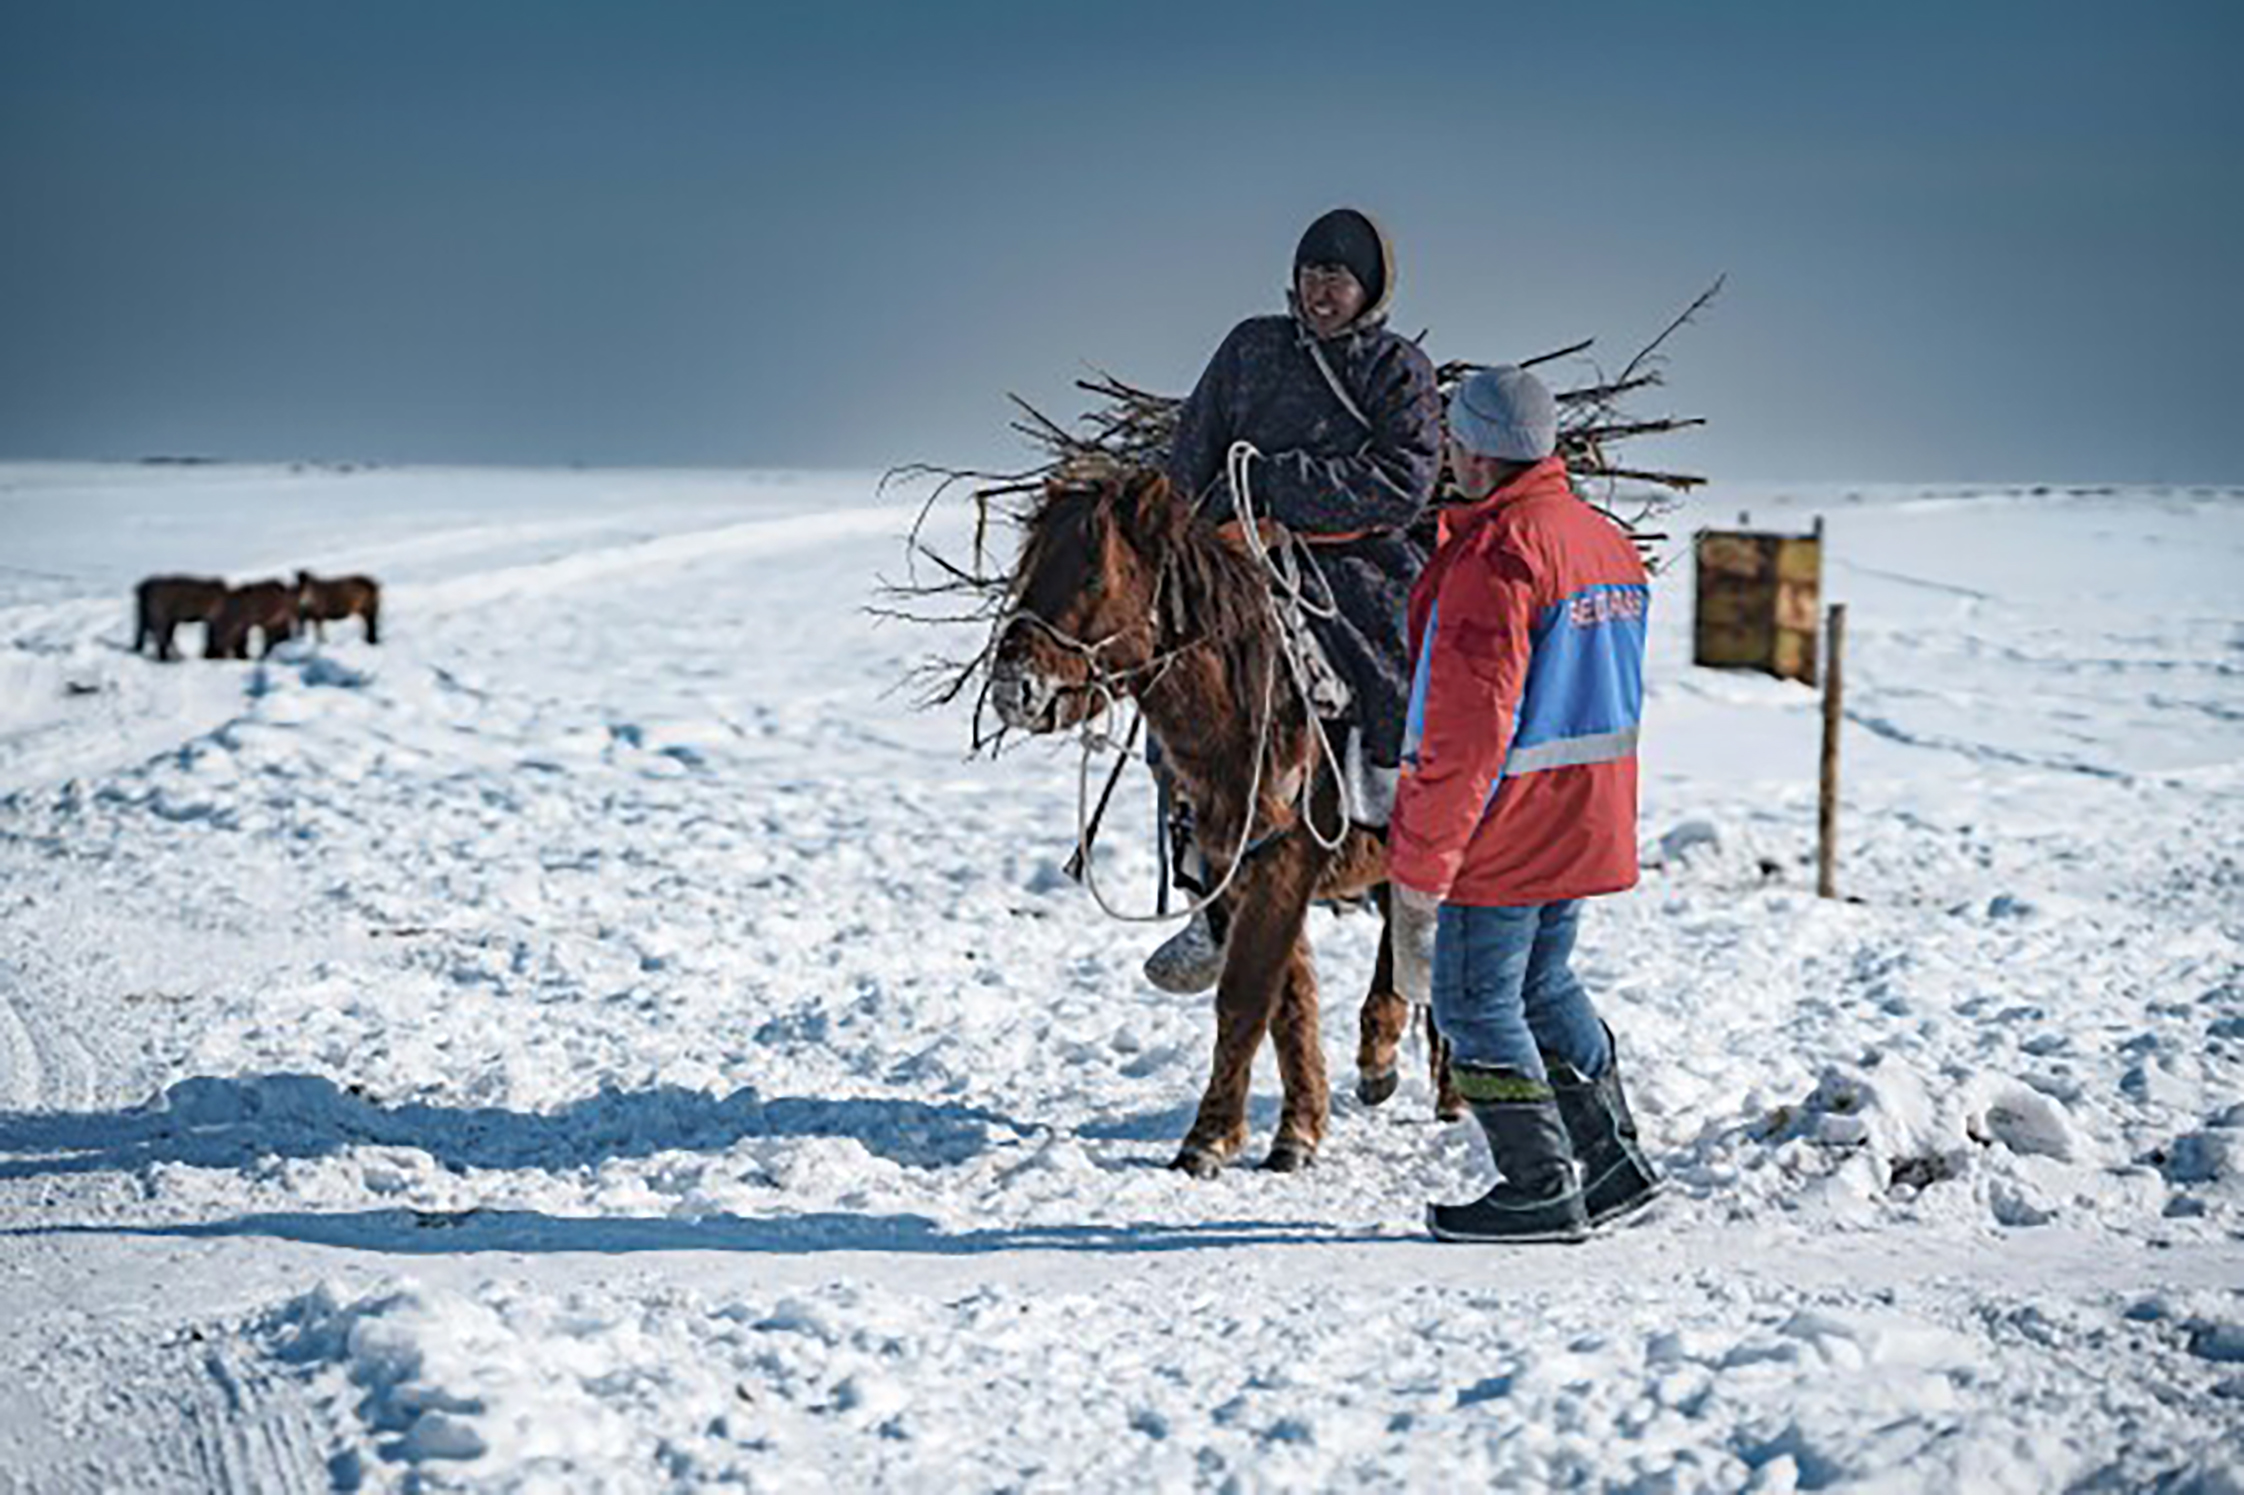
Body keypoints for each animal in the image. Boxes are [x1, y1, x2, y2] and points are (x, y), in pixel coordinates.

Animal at [987, 466, 1454, 1176]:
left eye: (1094, 575)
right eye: (1029, 568)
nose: (1014, 687)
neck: (1251, 706)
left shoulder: (1287, 860)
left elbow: (1247, 990)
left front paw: (1210, 1140)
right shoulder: (1233, 863)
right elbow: (1287, 999)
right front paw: (1297, 1128)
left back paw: (1450, 1089)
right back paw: (1379, 1058)